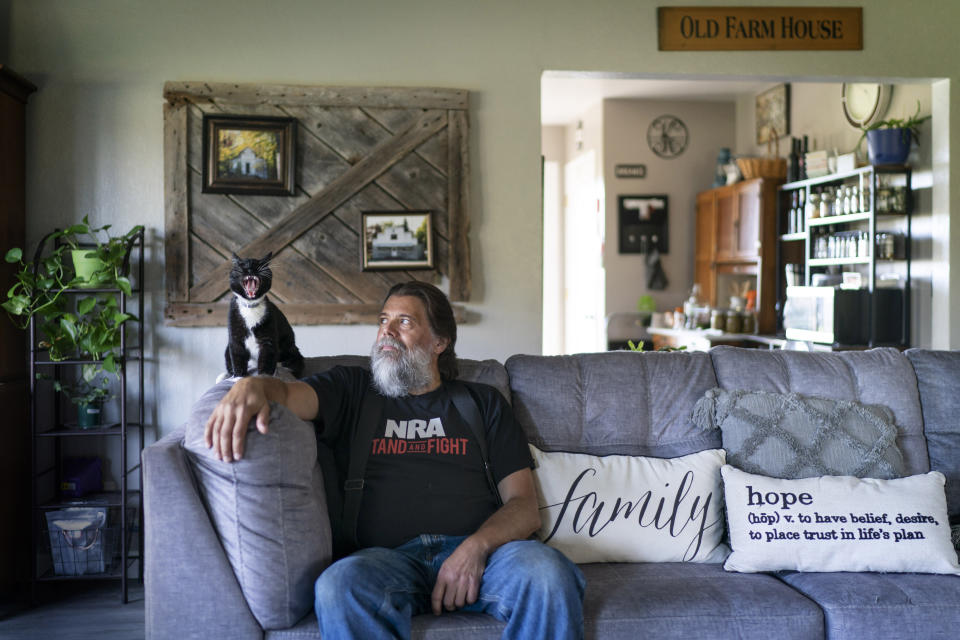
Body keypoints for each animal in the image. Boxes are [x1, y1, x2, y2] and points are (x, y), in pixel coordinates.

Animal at [223, 251, 302, 380]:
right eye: (242, 265)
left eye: (258, 264)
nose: (250, 268)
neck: (250, 307)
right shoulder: (235, 336)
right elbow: (237, 357)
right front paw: (238, 377)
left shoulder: (268, 338)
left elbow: (267, 359)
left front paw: (264, 377)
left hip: (293, 352)